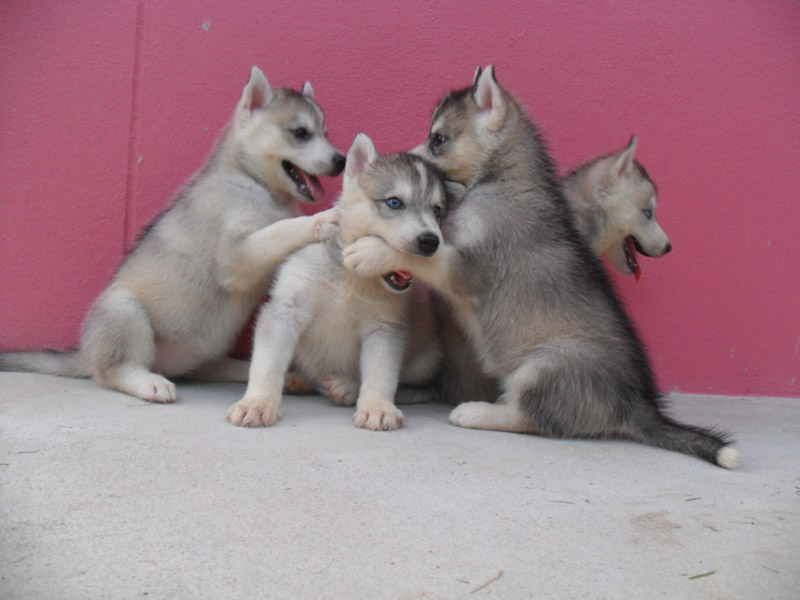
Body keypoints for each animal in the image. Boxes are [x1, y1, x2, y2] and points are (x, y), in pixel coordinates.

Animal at [0, 66, 345, 403]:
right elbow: (279, 230)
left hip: (202, 349)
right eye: (300, 133)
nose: (341, 160)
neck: (253, 180)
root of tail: (83, 354)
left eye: (326, 132)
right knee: (114, 370)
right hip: (125, 310)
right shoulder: (234, 255)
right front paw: (321, 220)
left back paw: (285, 377)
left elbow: (280, 232)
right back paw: (148, 382)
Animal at [225, 133, 444, 431]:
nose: (431, 241)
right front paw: (257, 403)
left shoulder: (384, 327)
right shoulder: (285, 310)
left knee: (410, 387)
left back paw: (348, 387)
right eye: (395, 202)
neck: (348, 275)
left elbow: (382, 374)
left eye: (437, 211)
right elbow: (267, 364)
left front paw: (377, 407)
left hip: (429, 358)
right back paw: (298, 379)